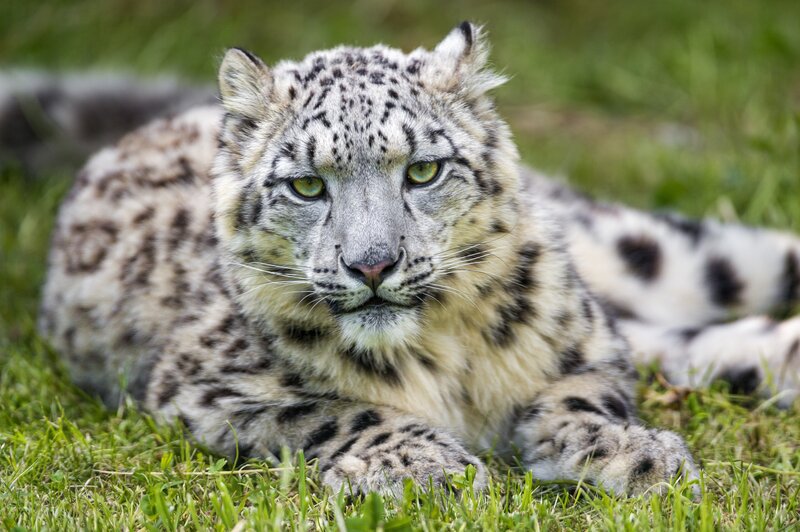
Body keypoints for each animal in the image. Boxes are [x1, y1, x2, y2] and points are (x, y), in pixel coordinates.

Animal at [37, 22, 800, 498]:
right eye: (307, 185)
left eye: (424, 170)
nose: (372, 265)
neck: (444, 355)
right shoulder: (208, 384)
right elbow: (333, 410)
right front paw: (427, 465)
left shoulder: (586, 342)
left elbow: (579, 392)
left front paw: (632, 454)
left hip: (649, 253)